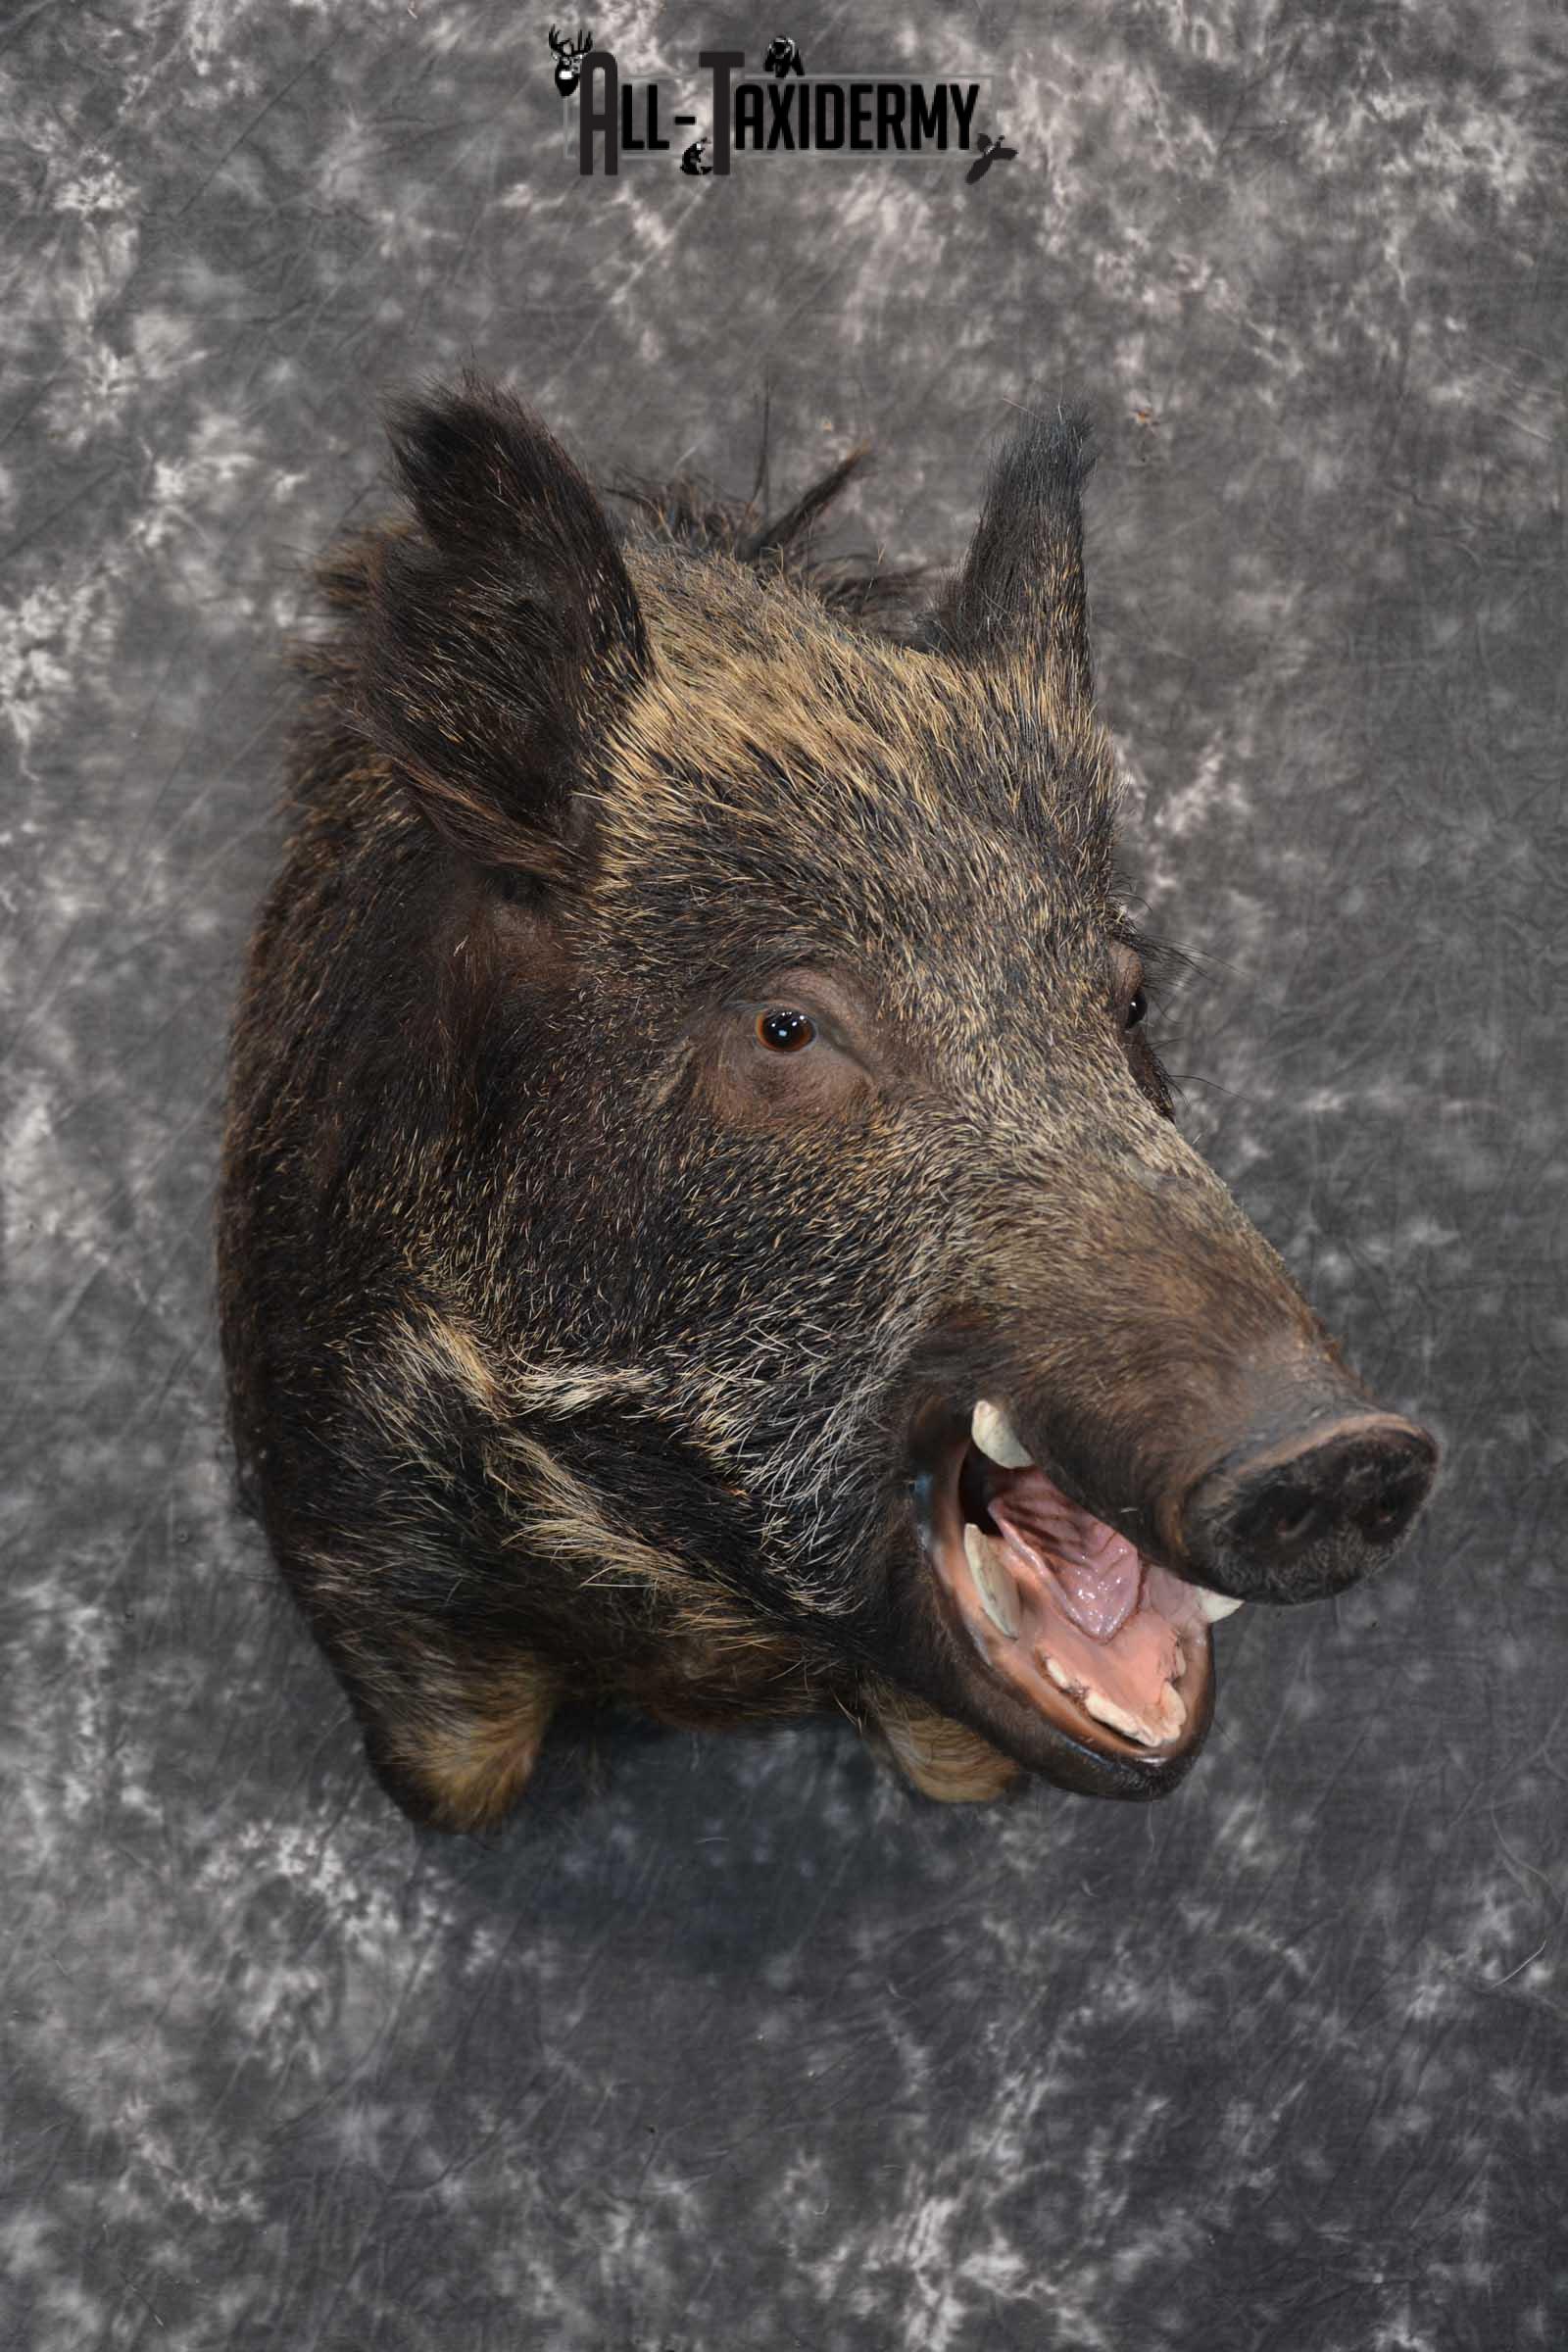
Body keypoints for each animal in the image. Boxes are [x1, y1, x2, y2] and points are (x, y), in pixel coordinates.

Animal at [216, 373, 1439, 1831]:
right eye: (786, 1026)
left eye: (1128, 998)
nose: (1346, 1450)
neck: (699, 1631)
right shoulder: (348, 1521)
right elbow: (455, 1777)